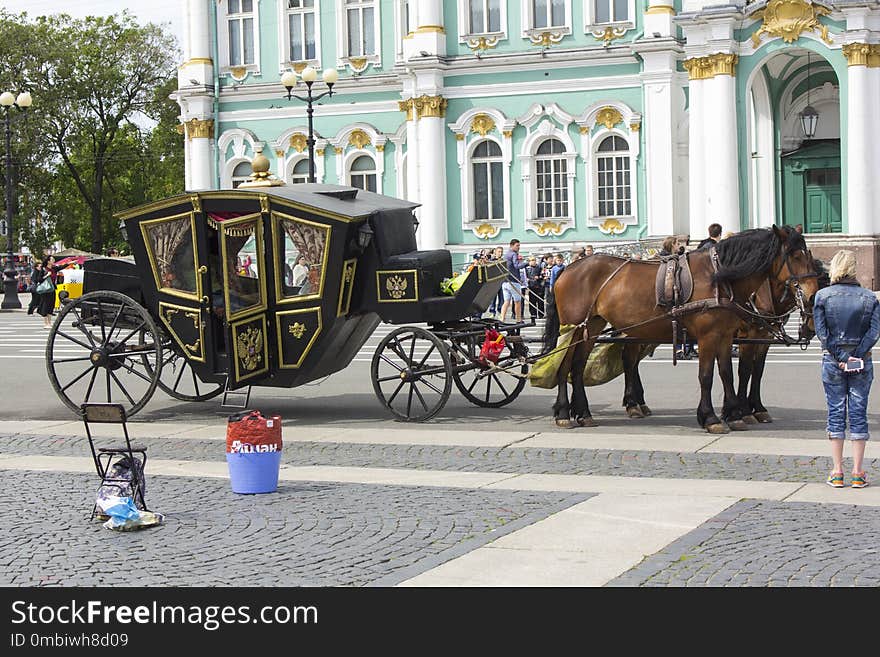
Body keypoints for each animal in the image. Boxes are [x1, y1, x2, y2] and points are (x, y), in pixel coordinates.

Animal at [548, 228, 820, 434]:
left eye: (809, 257)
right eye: (795, 255)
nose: (812, 297)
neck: (719, 278)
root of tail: (567, 269)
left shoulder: (728, 336)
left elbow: (730, 373)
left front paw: (735, 413)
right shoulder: (714, 337)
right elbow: (711, 375)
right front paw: (713, 417)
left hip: (592, 328)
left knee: (581, 367)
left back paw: (586, 412)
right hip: (574, 329)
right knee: (566, 365)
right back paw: (564, 412)